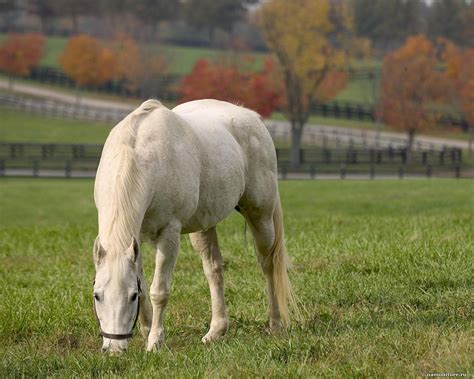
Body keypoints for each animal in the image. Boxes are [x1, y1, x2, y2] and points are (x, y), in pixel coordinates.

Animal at [91, 98, 296, 354]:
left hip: (261, 216)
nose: (114, 349)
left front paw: (155, 342)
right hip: (204, 226)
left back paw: (275, 323)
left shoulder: (169, 233)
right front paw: (146, 331)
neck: (141, 156)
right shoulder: (135, 237)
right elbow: (145, 284)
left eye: (131, 296)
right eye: (97, 296)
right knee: (214, 270)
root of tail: (253, 117)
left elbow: (159, 291)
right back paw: (215, 331)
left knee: (269, 265)